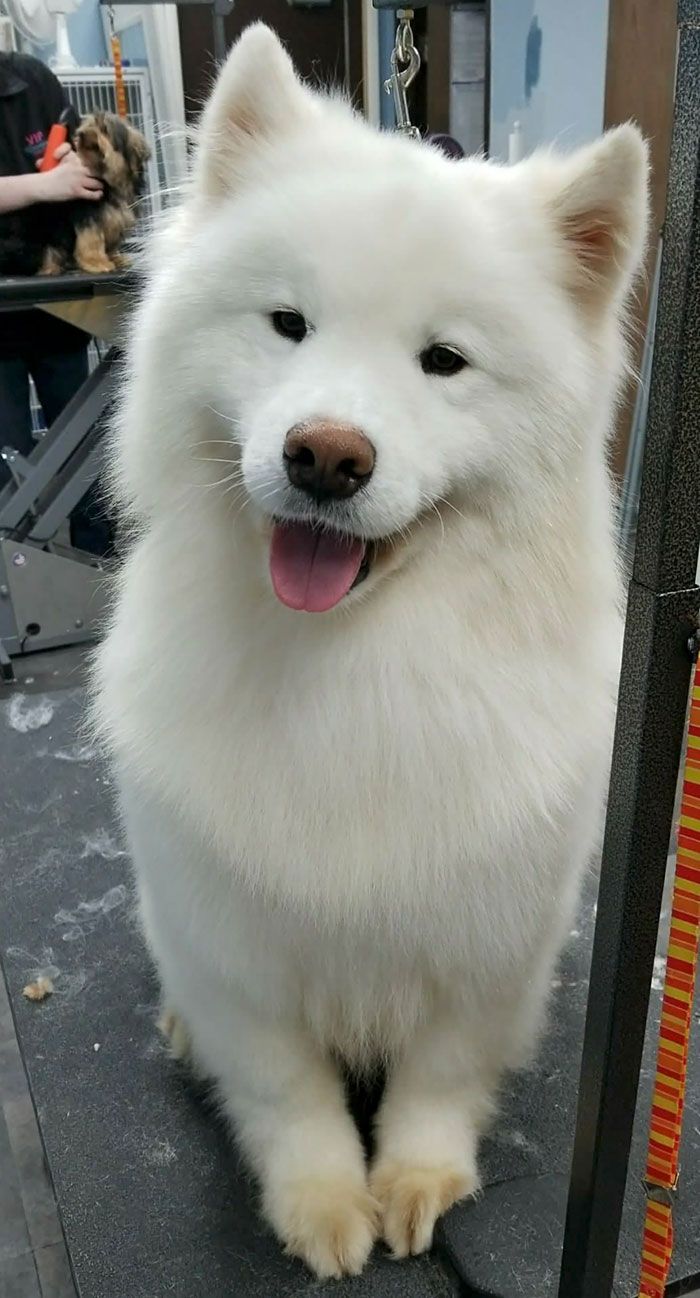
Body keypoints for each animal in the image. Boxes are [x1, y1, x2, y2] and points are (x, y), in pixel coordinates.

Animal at [94, 25, 651, 1282]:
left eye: (443, 360)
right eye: (287, 323)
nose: (326, 456)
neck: (355, 662)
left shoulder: (484, 942)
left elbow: (437, 1078)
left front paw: (414, 1180)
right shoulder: (238, 946)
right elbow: (287, 1092)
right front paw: (321, 1203)